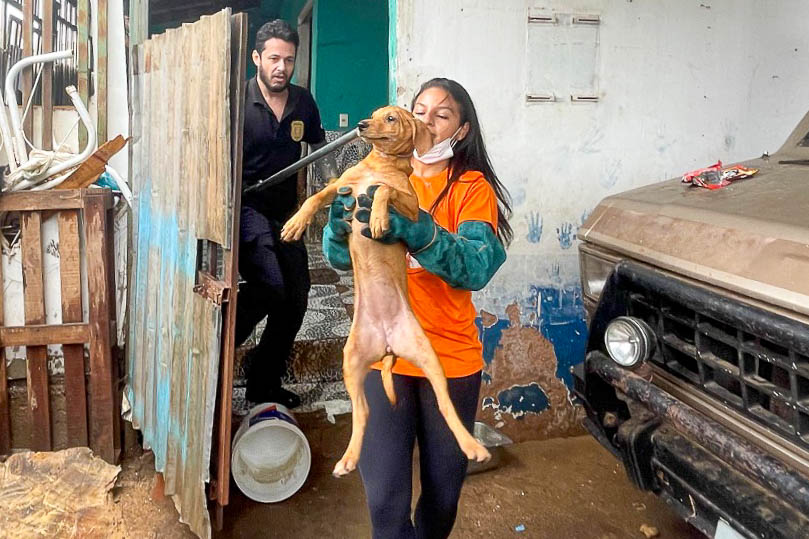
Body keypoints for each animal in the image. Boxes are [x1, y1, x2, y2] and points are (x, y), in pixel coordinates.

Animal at [280, 105, 490, 476]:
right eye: (374, 114)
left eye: (391, 118)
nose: (362, 125)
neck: (380, 165)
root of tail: (388, 345)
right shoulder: (342, 189)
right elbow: (317, 196)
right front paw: (296, 223)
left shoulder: (410, 207)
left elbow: (383, 191)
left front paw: (378, 218)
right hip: (351, 362)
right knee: (363, 411)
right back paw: (347, 460)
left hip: (429, 359)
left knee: (444, 405)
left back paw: (473, 446)